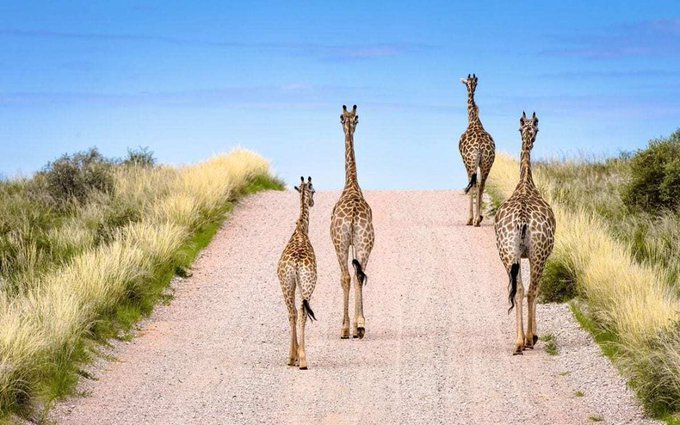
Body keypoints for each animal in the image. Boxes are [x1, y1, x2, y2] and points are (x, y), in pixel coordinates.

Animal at [494, 112, 556, 355]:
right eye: (535, 128)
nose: (533, 136)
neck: (526, 182)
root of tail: (522, 219)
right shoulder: (541, 255)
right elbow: (535, 290)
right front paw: (534, 336)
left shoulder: (519, 256)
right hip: (538, 253)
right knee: (530, 290)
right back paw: (528, 339)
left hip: (507, 253)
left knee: (518, 290)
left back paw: (518, 342)